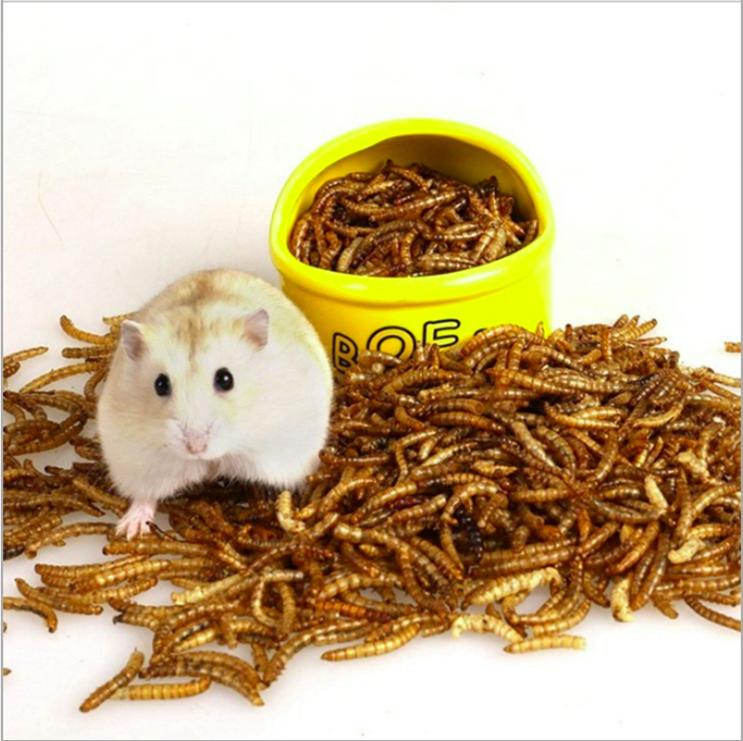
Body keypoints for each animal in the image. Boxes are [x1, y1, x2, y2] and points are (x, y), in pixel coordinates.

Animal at [97, 269, 333, 539]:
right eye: (160, 384)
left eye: (225, 379)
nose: (196, 448)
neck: (214, 459)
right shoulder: (135, 455)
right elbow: (146, 494)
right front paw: (127, 532)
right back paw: (131, 529)